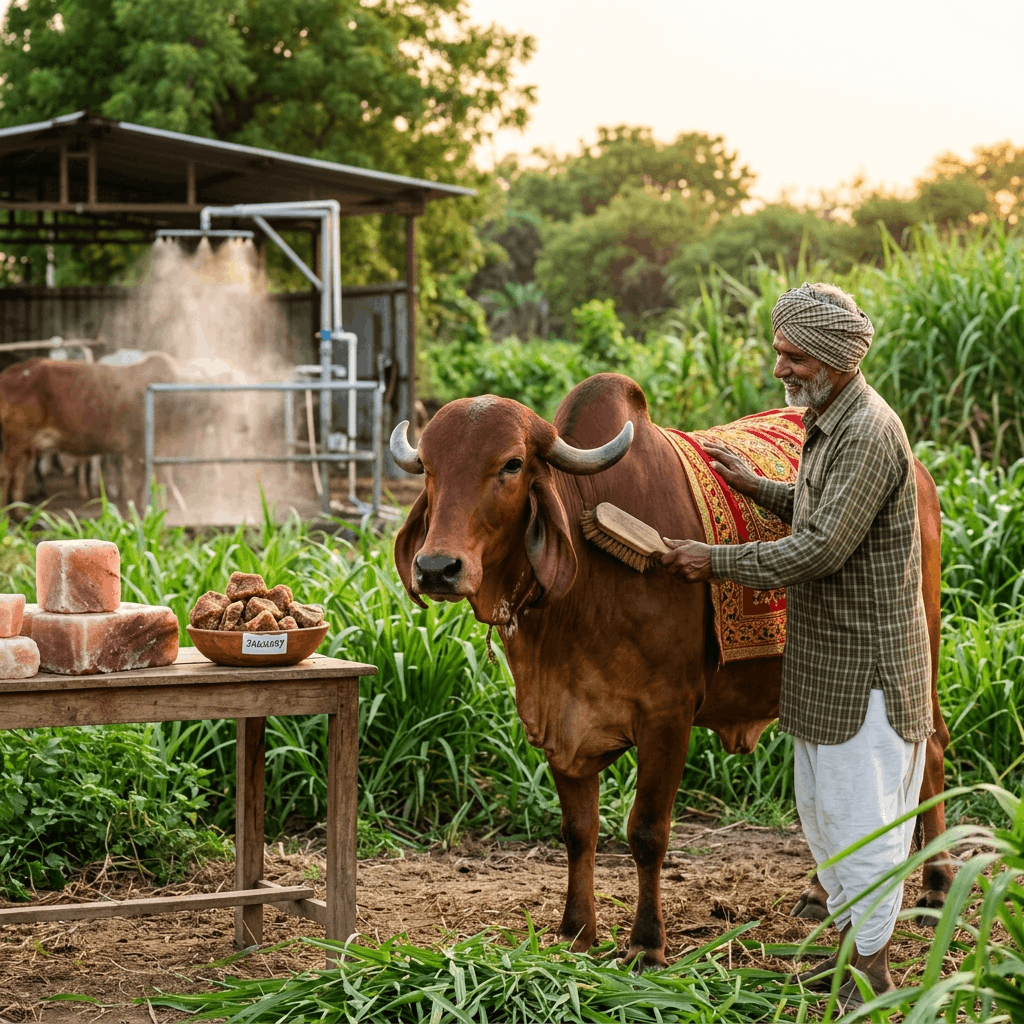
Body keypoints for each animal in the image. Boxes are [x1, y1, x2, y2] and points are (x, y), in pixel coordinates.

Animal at [0, 353, 181, 508]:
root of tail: (10, 373)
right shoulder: (140, 449)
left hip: (26, 446)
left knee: (18, 478)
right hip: (16, 439)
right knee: (6, 475)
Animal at [391, 373, 952, 969]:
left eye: (512, 464)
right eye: (429, 468)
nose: (437, 568)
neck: (581, 594)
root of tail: (917, 470)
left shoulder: (667, 715)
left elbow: (646, 833)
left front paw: (645, 944)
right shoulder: (560, 723)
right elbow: (578, 831)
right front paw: (576, 932)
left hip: (917, 652)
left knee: (931, 748)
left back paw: (936, 889)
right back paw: (821, 895)